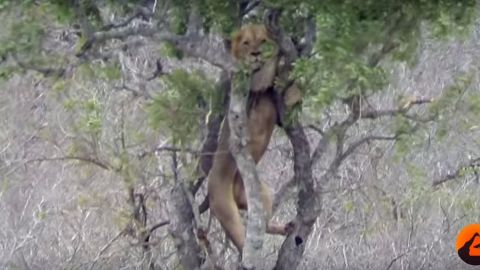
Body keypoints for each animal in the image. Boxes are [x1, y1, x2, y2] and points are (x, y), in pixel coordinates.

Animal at [208, 24, 298, 251]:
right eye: (246, 42)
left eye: (263, 40)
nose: (256, 53)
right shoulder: (249, 81)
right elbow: (269, 71)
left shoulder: (279, 113)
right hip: (226, 210)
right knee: (245, 239)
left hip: (264, 193)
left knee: (262, 225)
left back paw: (285, 228)